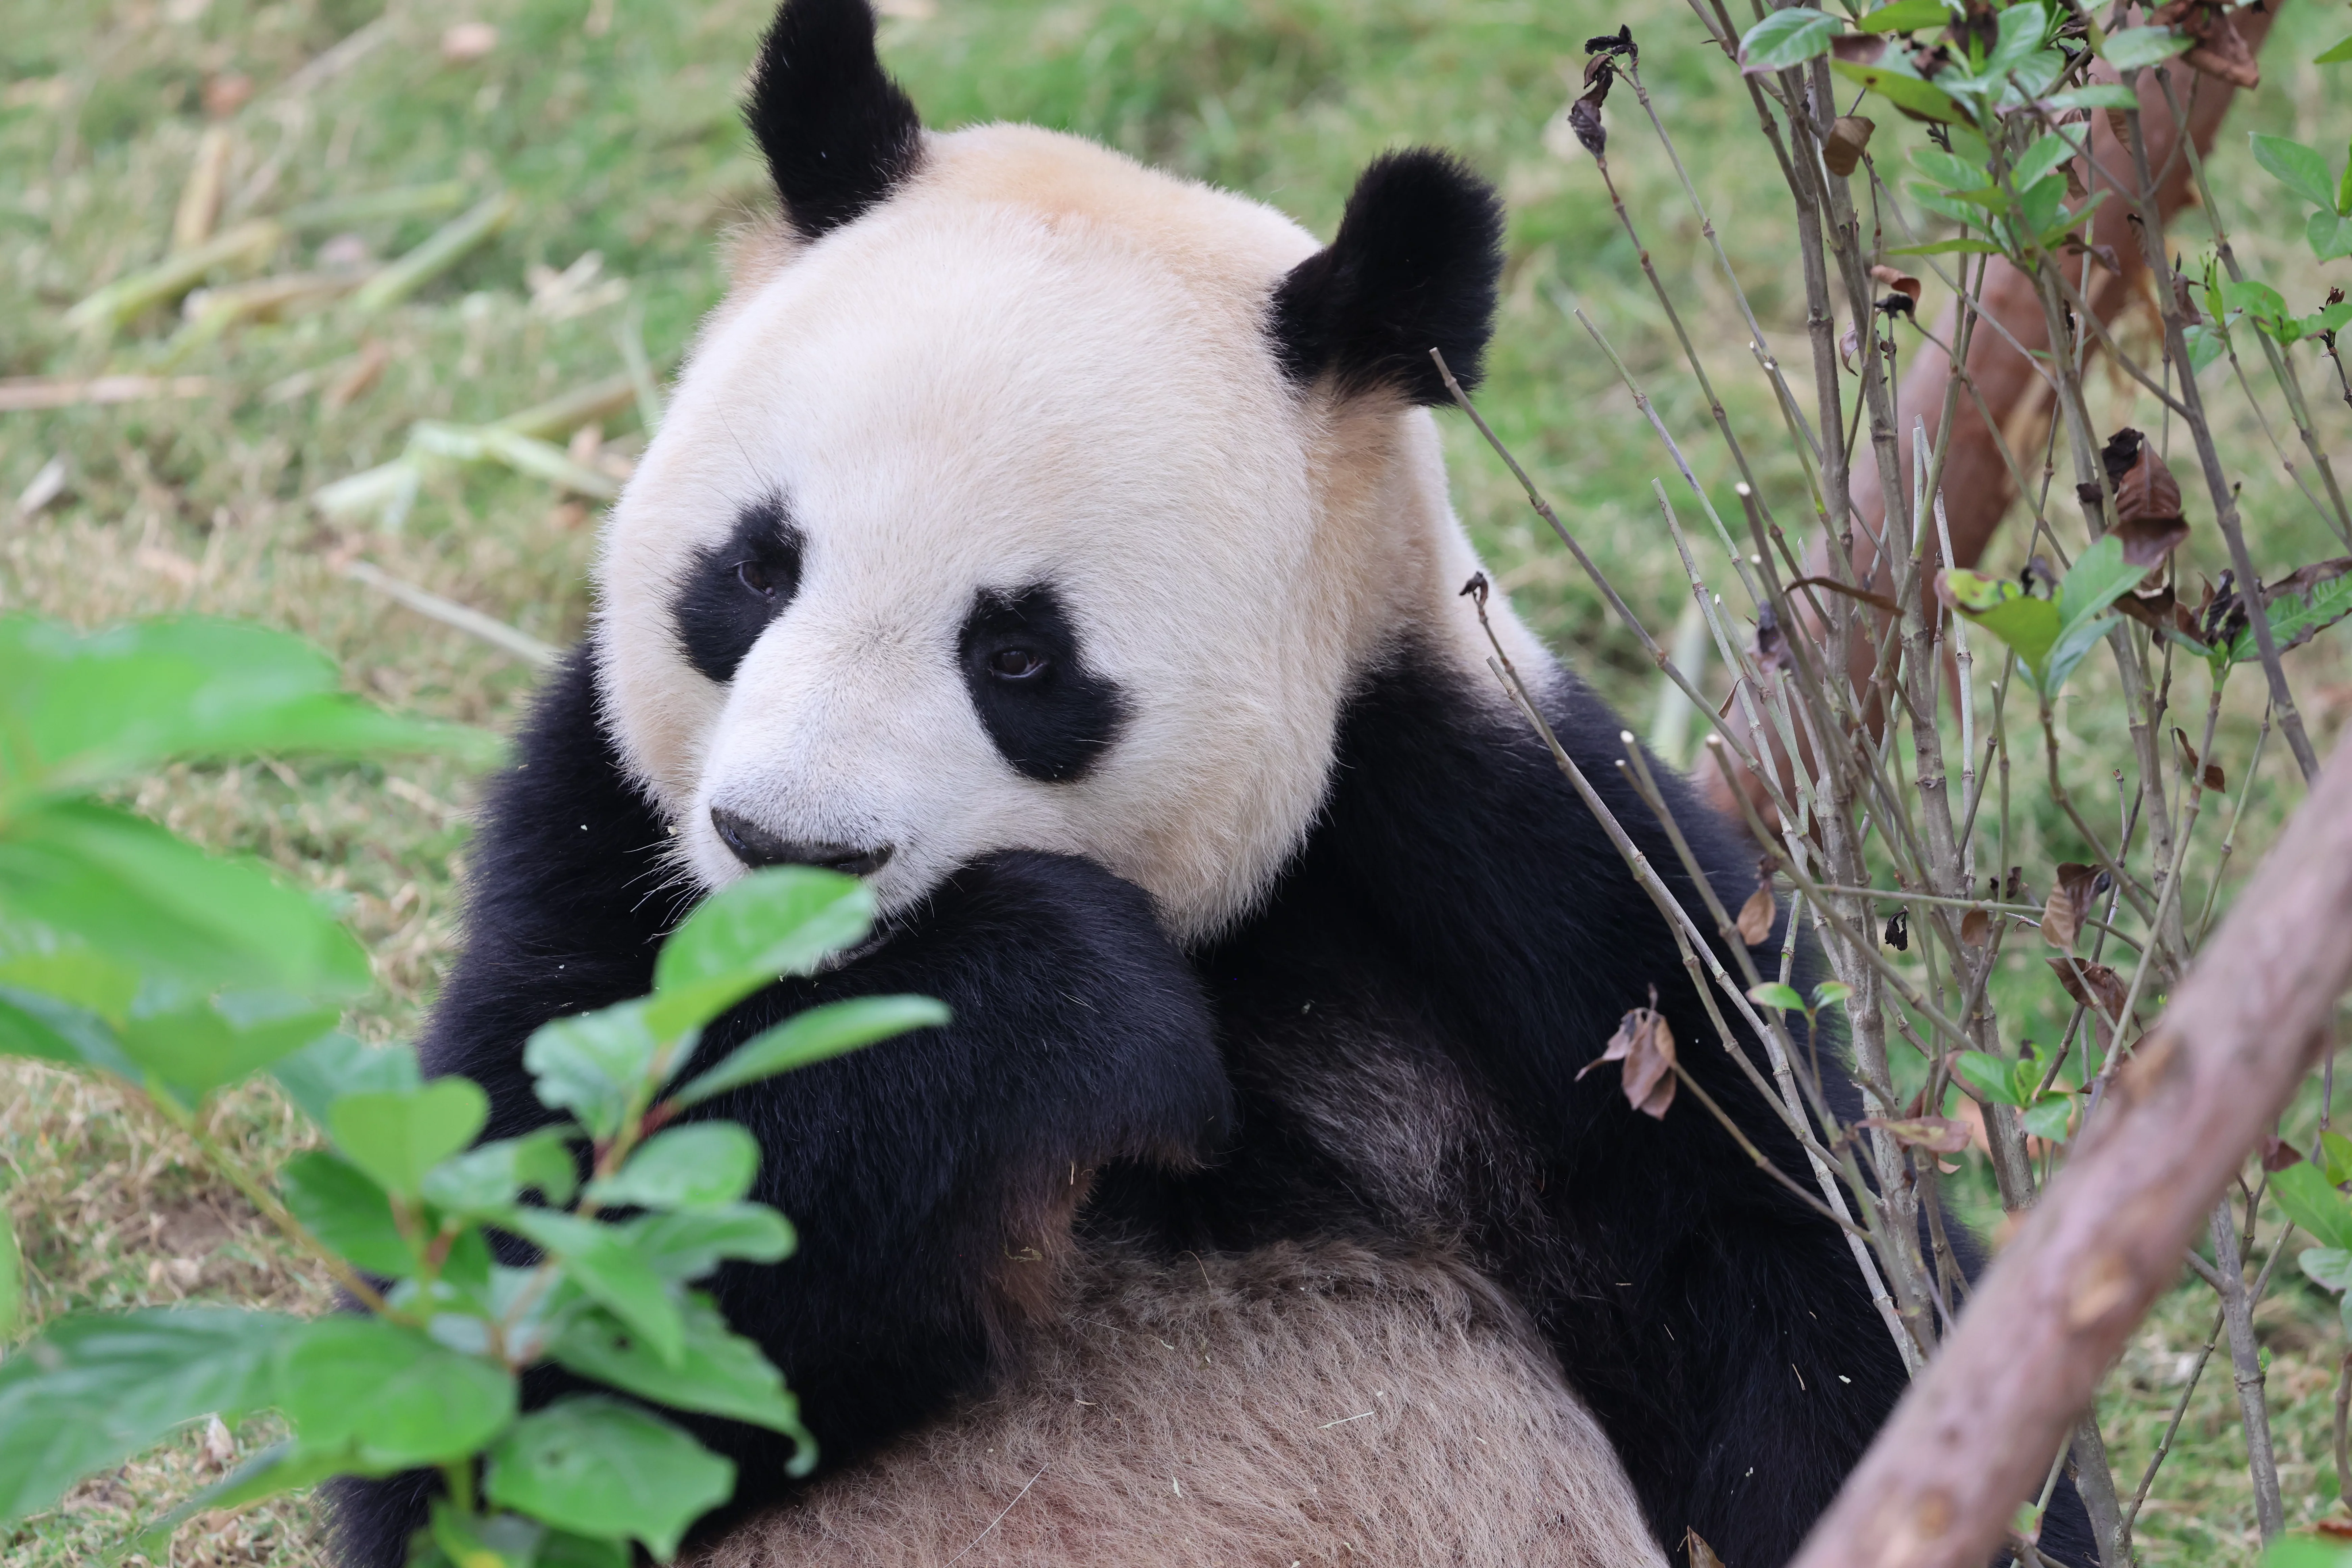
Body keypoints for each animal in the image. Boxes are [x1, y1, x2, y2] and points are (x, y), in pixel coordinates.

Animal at [331, 2, 2098, 1565]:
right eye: (760, 569)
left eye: (1021, 657)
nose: (786, 850)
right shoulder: (592, 844)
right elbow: (503, 1331)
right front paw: (1073, 1001)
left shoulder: (1510, 860)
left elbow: (1797, 1256)